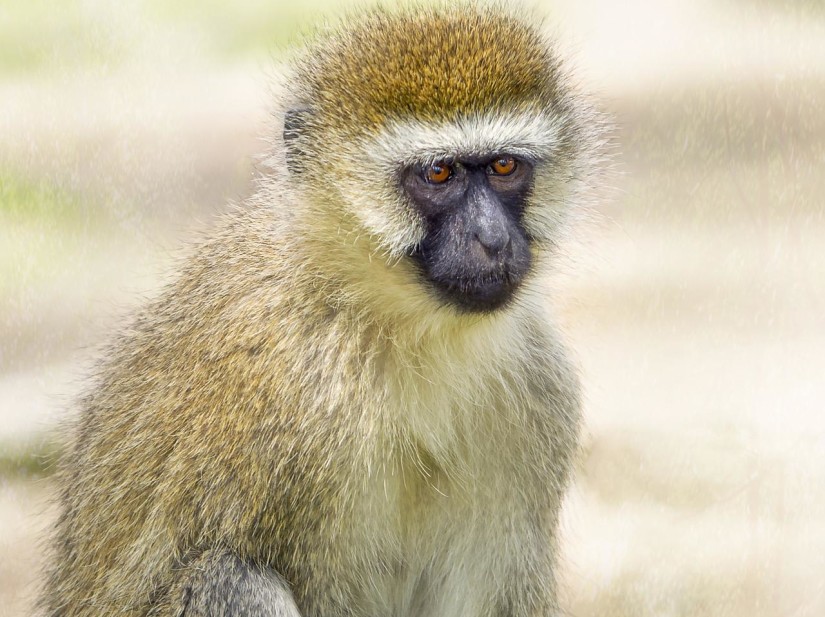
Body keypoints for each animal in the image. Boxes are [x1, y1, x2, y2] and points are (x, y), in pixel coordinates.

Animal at [40, 4, 604, 616]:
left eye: (503, 167)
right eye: (438, 174)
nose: (493, 239)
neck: (394, 326)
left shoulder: (540, 388)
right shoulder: (294, 410)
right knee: (227, 577)